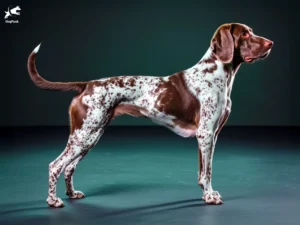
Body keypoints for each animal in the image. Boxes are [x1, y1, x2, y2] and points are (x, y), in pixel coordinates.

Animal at [27, 22, 274, 207]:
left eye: (251, 31)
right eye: (244, 34)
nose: (271, 43)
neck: (216, 74)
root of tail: (87, 84)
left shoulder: (209, 136)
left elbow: (202, 172)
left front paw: (206, 194)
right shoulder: (206, 135)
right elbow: (208, 173)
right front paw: (210, 197)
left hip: (90, 135)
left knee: (69, 167)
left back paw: (72, 194)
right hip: (83, 135)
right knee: (55, 165)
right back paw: (53, 201)